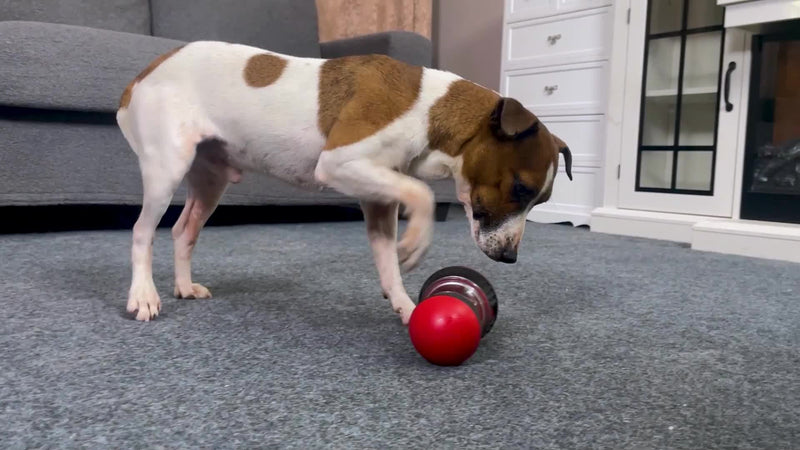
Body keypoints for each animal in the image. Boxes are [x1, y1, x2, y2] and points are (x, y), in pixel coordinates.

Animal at [117, 41, 568, 324]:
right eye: (520, 189)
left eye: (541, 200)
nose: (510, 257)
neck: (428, 108)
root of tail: (142, 75)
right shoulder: (339, 163)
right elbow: (421, 193)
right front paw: (416, 243)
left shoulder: (379, 198)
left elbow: (388, 262)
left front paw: (406, 308)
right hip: (165, 170)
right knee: (142, 232)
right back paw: (143, 295)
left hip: (209, 180)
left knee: (183, 231)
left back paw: (182, 286)